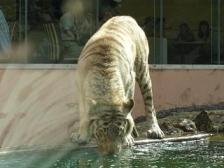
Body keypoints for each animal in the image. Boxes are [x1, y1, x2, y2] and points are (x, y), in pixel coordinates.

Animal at [72, 15, 164, 155]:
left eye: (120, 132)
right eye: (101, 133)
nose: (111, 153)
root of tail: (126, 17)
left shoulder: (130, 82)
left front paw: (128, 138)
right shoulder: (79, 89)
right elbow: (83, 114)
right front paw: (82, 137)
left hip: (143, 71)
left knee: (150, 105)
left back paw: (155, 130)